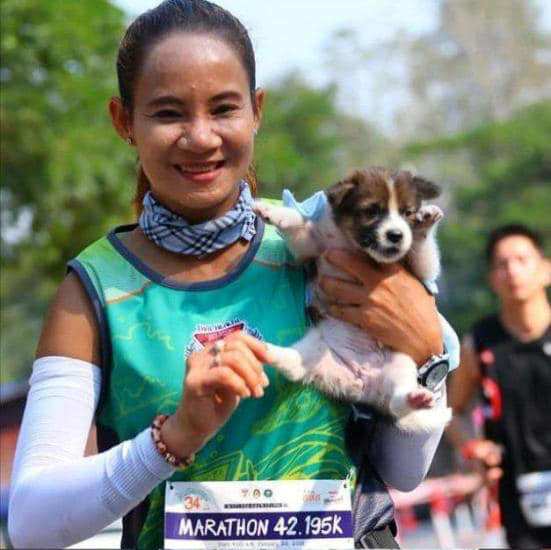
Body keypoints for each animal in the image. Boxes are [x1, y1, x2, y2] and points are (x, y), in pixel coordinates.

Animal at [256, 166, 450, 434]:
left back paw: (415, 399)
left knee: (397, 403)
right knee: (294, 365)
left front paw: (425, 222)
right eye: (371, 211)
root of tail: (362, 385)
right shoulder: (310, 245)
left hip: (401, 364)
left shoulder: (420, 271)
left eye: (407, 212)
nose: (396, 235)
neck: (357, 247)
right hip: (315, 348)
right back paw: (265, 350)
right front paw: (273, 211)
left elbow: (423, 254)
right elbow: (299, 223)